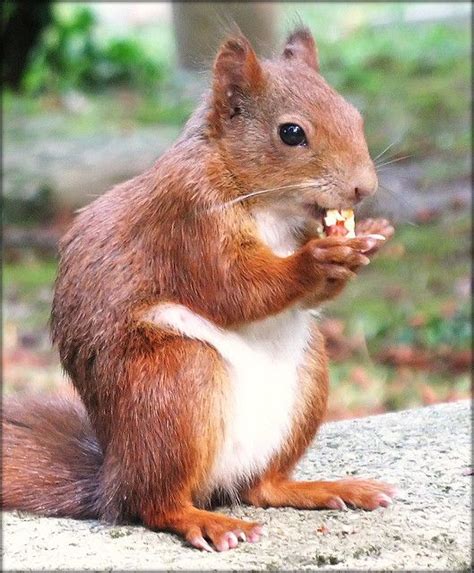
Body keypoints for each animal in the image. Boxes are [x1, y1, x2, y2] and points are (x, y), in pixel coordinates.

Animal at [1, 27, 396, 556]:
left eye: (355, 115)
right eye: (291, 133)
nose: (363, 189)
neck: (269, 205)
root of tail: (113, 478)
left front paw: (369, 235)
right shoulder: (188, 221)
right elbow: (234, 288)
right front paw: (317, 261)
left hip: (307, 379)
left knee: (262, 488)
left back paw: (325, 488)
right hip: (176, 382)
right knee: (154, 504)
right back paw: (203, 521)